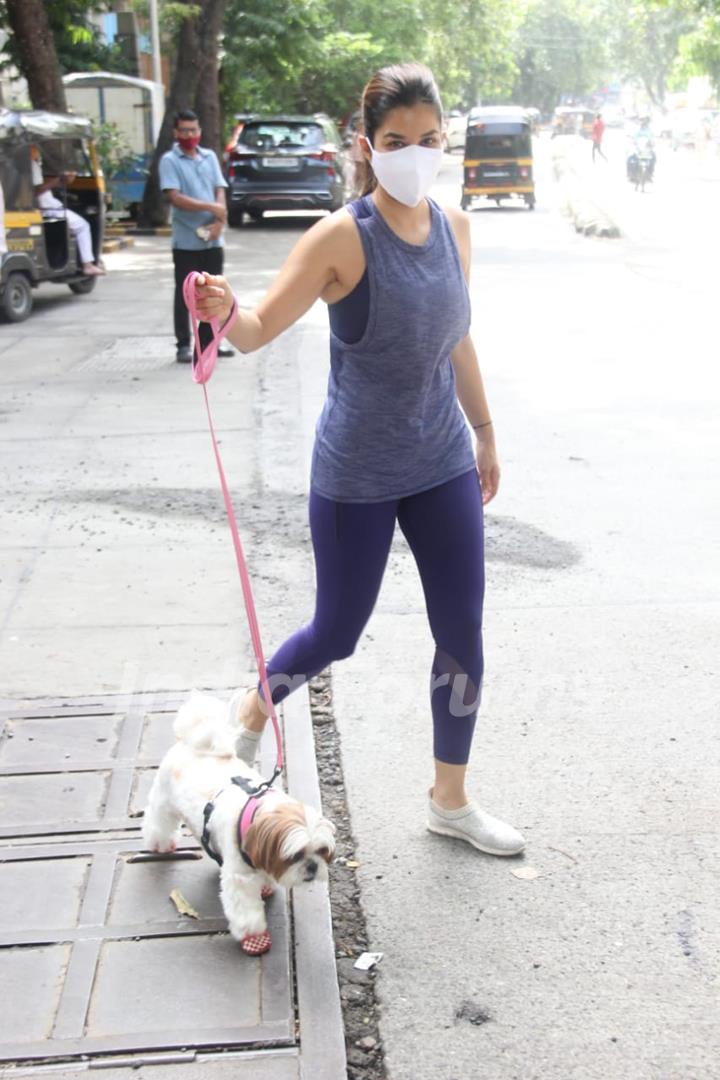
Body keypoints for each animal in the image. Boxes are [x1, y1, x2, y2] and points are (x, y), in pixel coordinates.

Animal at [142, 691, 336, 954]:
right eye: (295, 855)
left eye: (322, 851)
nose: (313, 866)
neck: (255, 812)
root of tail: (192, 742)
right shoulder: (239, 878)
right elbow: (246, 910)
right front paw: (255, 937)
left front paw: (265, 885)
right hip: (164, 800)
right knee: (158, 819)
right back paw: (159, 843)